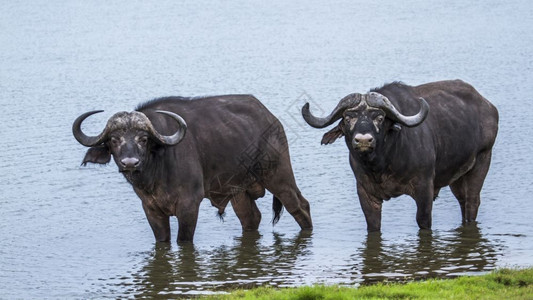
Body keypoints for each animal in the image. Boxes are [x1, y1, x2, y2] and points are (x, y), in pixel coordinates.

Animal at [71, 95, 312, 243]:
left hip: (279, 174)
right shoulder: (151, 210)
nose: (130, 163)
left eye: (143, 139)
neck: (156, 174)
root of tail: (271, 118)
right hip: (239, 191)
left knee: (300, 205)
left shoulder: (189, 206)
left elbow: (183, 241)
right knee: (251, 217)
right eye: (114, 139)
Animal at [302, 80, 496, 232]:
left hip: (482, 160)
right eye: (348, 118)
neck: (382, 165)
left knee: (472, 203)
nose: (363, 140)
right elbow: (373, 224)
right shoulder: (365, 193)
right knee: (463, 201)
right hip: (457, 177)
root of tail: (488, 107)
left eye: (379, 117)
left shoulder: (424, 188)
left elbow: (423, 221)